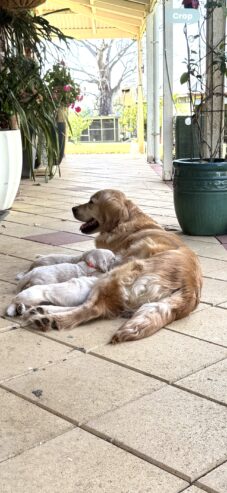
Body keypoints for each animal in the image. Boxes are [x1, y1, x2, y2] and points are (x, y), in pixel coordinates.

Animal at [21, 188, 202, 342]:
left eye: (91, 202)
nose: (73, 208)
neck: (126, 221)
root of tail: (190, 285)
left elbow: (72, 257)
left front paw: (41, 259)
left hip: (114, 276)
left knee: (91, 309)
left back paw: (49, 318)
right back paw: (41, 311)